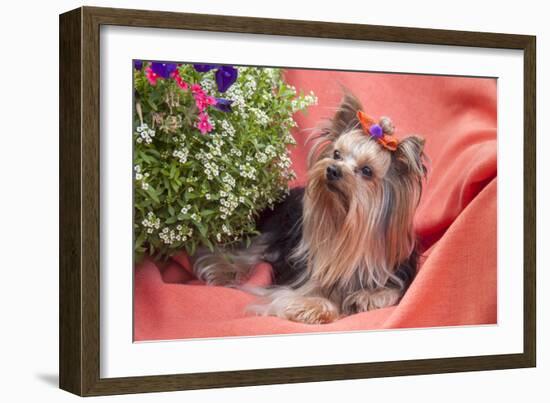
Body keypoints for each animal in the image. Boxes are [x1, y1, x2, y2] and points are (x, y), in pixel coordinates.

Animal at [192, 92, 430, 326]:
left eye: (367, 171)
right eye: (336, 154)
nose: (333, 170)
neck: (342, 222)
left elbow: (391, 292)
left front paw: (368, 297)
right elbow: (291, 297)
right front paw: (310, 308)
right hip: (274, 232)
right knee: (244, 254)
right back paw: (221, 270)